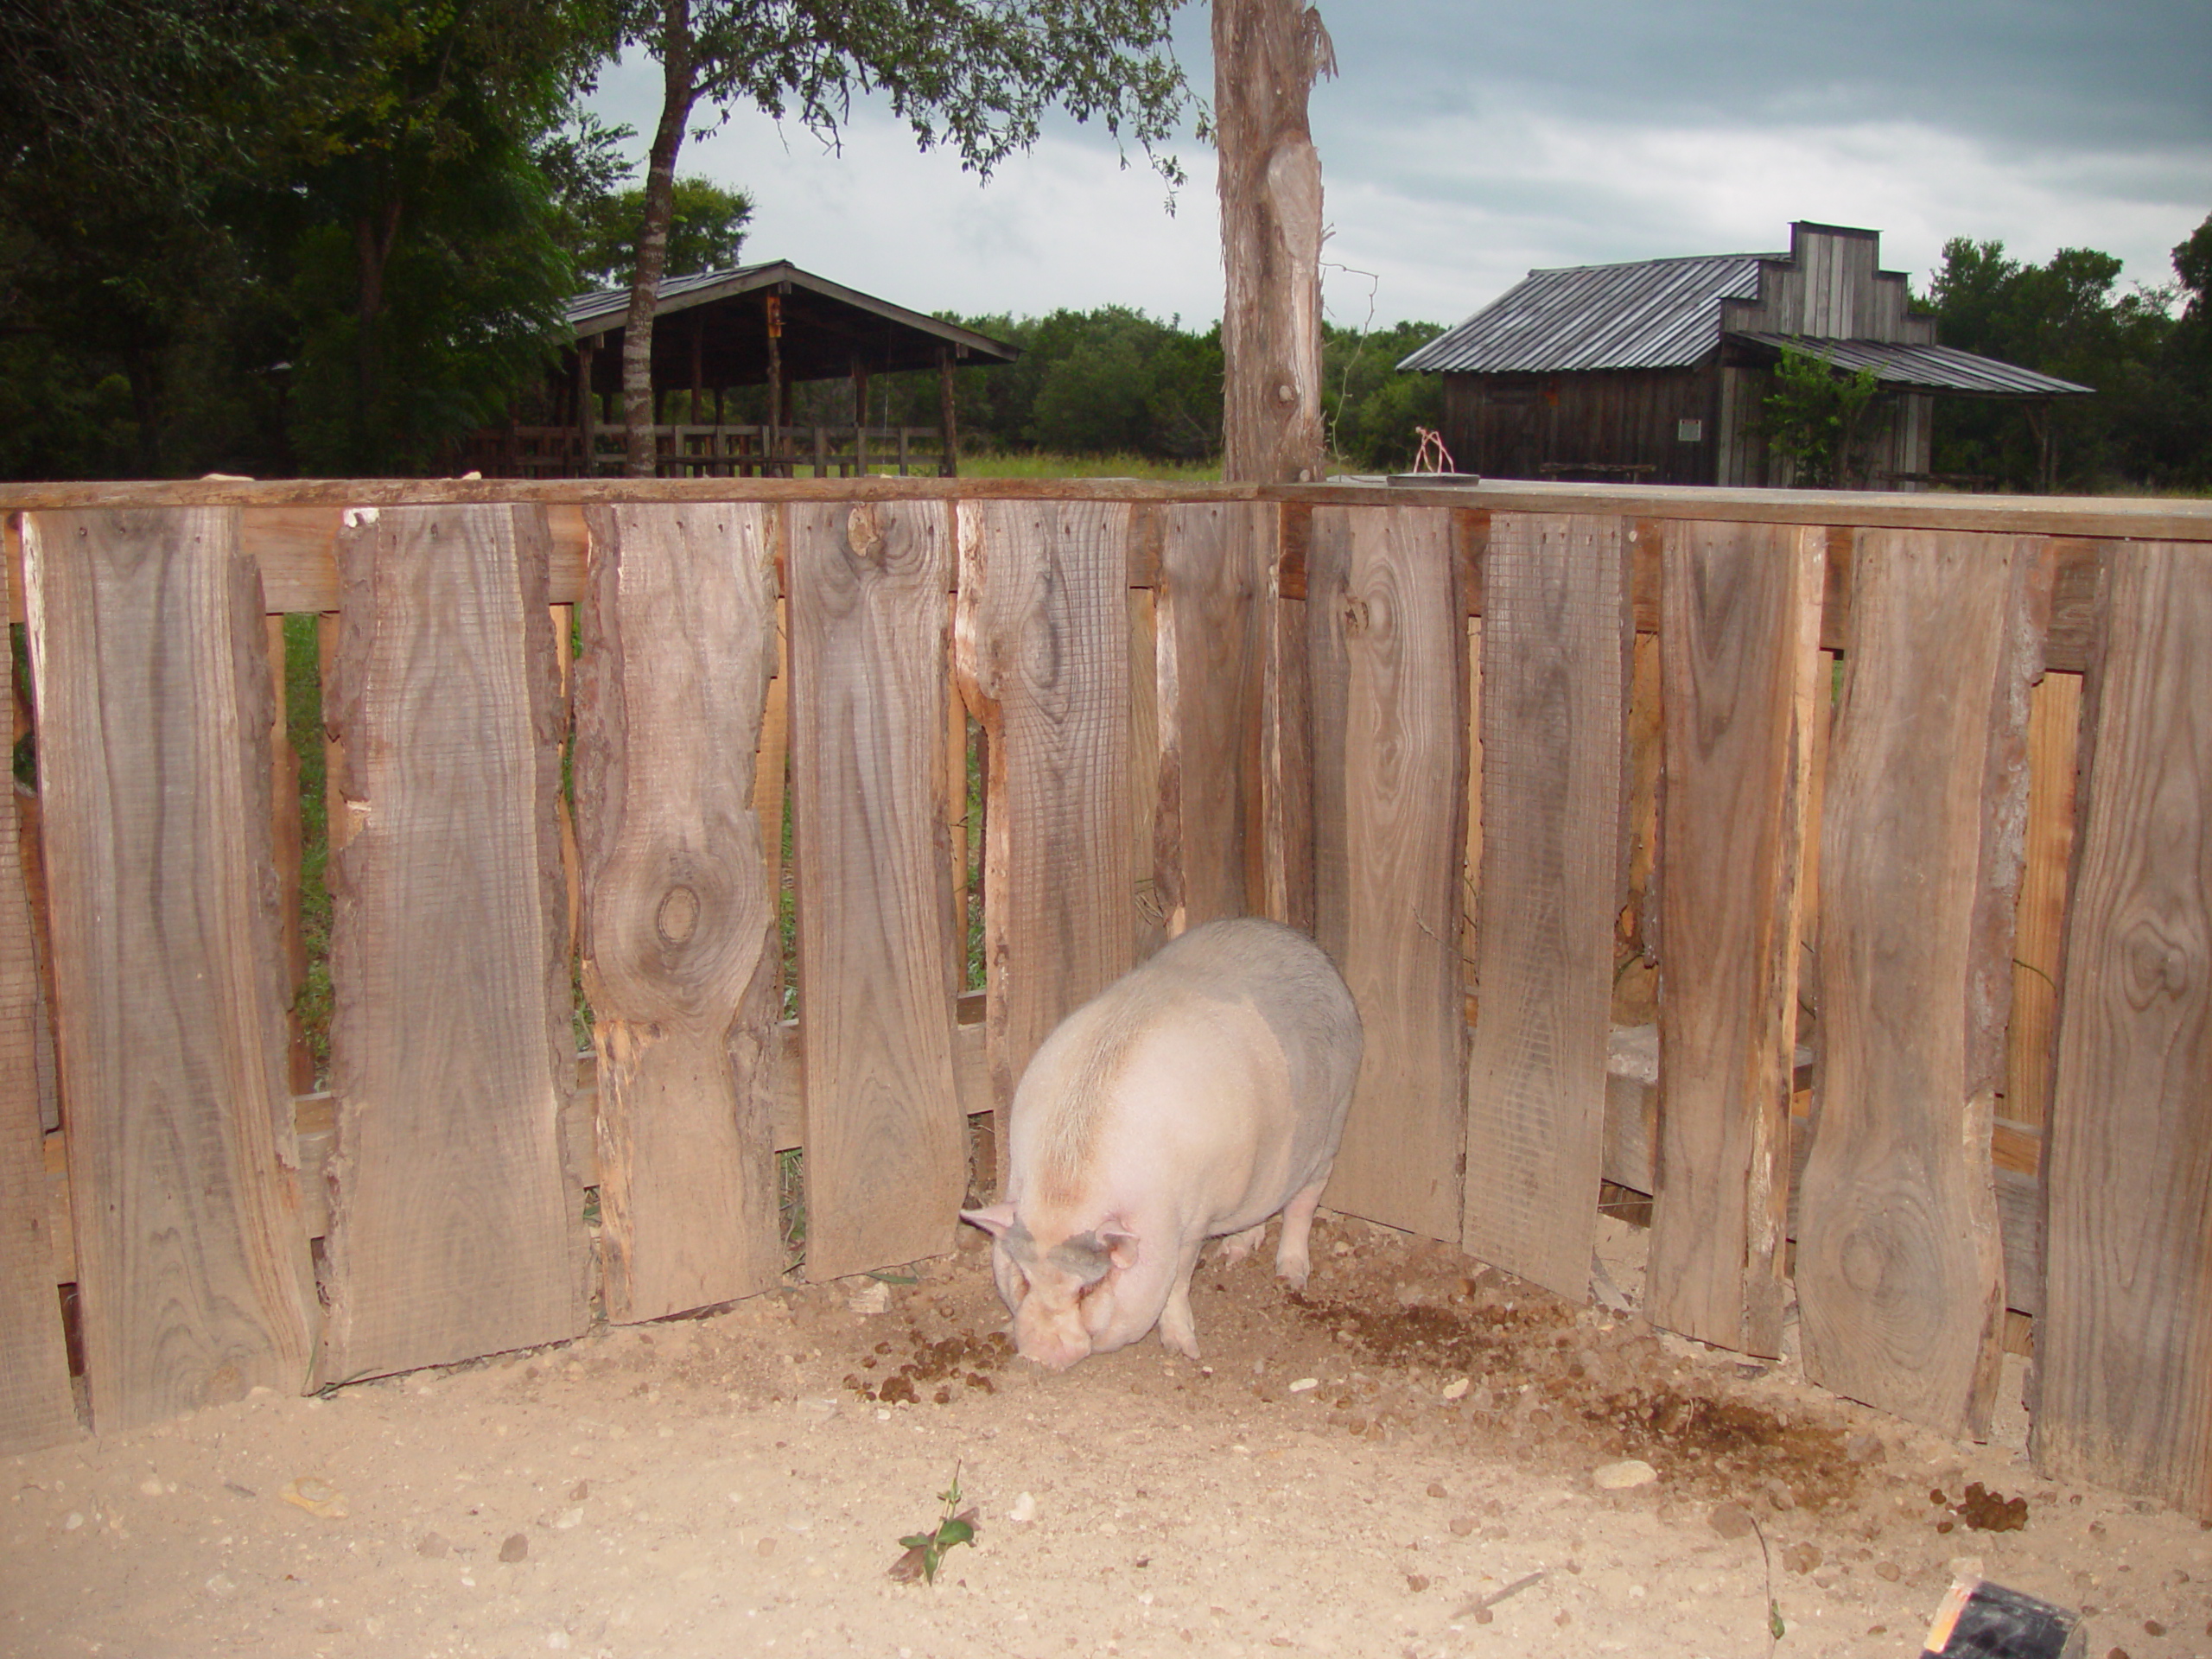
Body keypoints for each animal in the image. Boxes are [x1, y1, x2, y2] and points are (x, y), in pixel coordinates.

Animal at [960, 915, 1353, 1371]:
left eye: (1088, 1289)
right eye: (1023, 1278)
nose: (1038, 1354)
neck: (1065, 1197)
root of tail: (1309, 948)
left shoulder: (1192, 1222)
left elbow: (1178, 1283)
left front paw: (1184, 1349)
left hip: (1333, 1126)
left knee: (1303, 1203)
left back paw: (1290, 1276)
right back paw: (1234, 1252)